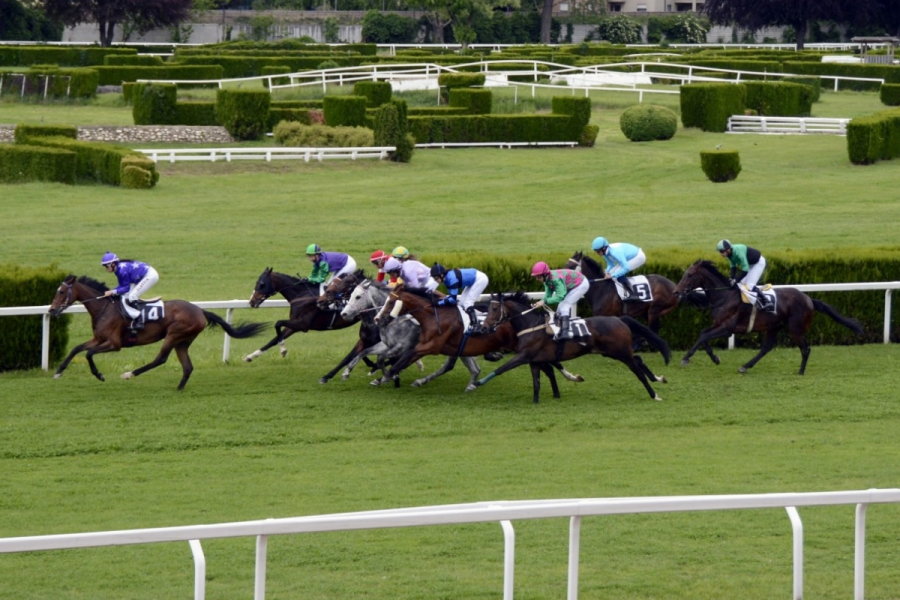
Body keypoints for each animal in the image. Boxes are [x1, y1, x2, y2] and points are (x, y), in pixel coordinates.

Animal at [48, 276, 268, 392]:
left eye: (61, 292)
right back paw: (179, 388)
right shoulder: (98, 338)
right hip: (182, 341)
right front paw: (58, 372)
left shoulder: (114, 344)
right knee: (187, 366)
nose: (51, 310)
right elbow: (77, 348)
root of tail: (200, 310)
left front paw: (99, 375)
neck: (104, 308)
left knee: (160, 359)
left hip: (174, 334)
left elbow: (88, 354)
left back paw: (129, 374)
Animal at [372, 284, 584, 400]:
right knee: (548, 366)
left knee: (549, 365)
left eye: (390, 302)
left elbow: (403, 358)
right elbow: (400, 358)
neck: (434, 315)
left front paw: (386, 376)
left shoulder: (429, 346)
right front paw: (386, 375)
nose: (378, 319)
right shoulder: (441, 347)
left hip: (524, 348)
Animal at [474, 292, 672, 404]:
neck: (530, 325)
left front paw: (476, 384)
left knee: (637, 370)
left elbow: (502, 369)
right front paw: (535, 403)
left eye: (494, 309)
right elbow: (537, 383)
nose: (484, 327)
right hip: (611, 352)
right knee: (638, 359)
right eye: (487, 308)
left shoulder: (524, 356)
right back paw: (658, 378)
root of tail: (619, 319)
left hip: (620, 352)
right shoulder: (534, 360)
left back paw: (654, 395)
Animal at [676, 258, 864, 376]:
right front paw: (714, 358)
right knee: (766, 348)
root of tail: (809, 299)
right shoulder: (718, 324)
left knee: (805, 349)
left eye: (690, 275)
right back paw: (745, 366)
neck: (725, 296)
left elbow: (704, 336)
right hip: (773, 327)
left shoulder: (727, 328)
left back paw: (800, 372)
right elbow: (702, 334)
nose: (676, 292)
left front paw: (685, 358)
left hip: (794, 329)